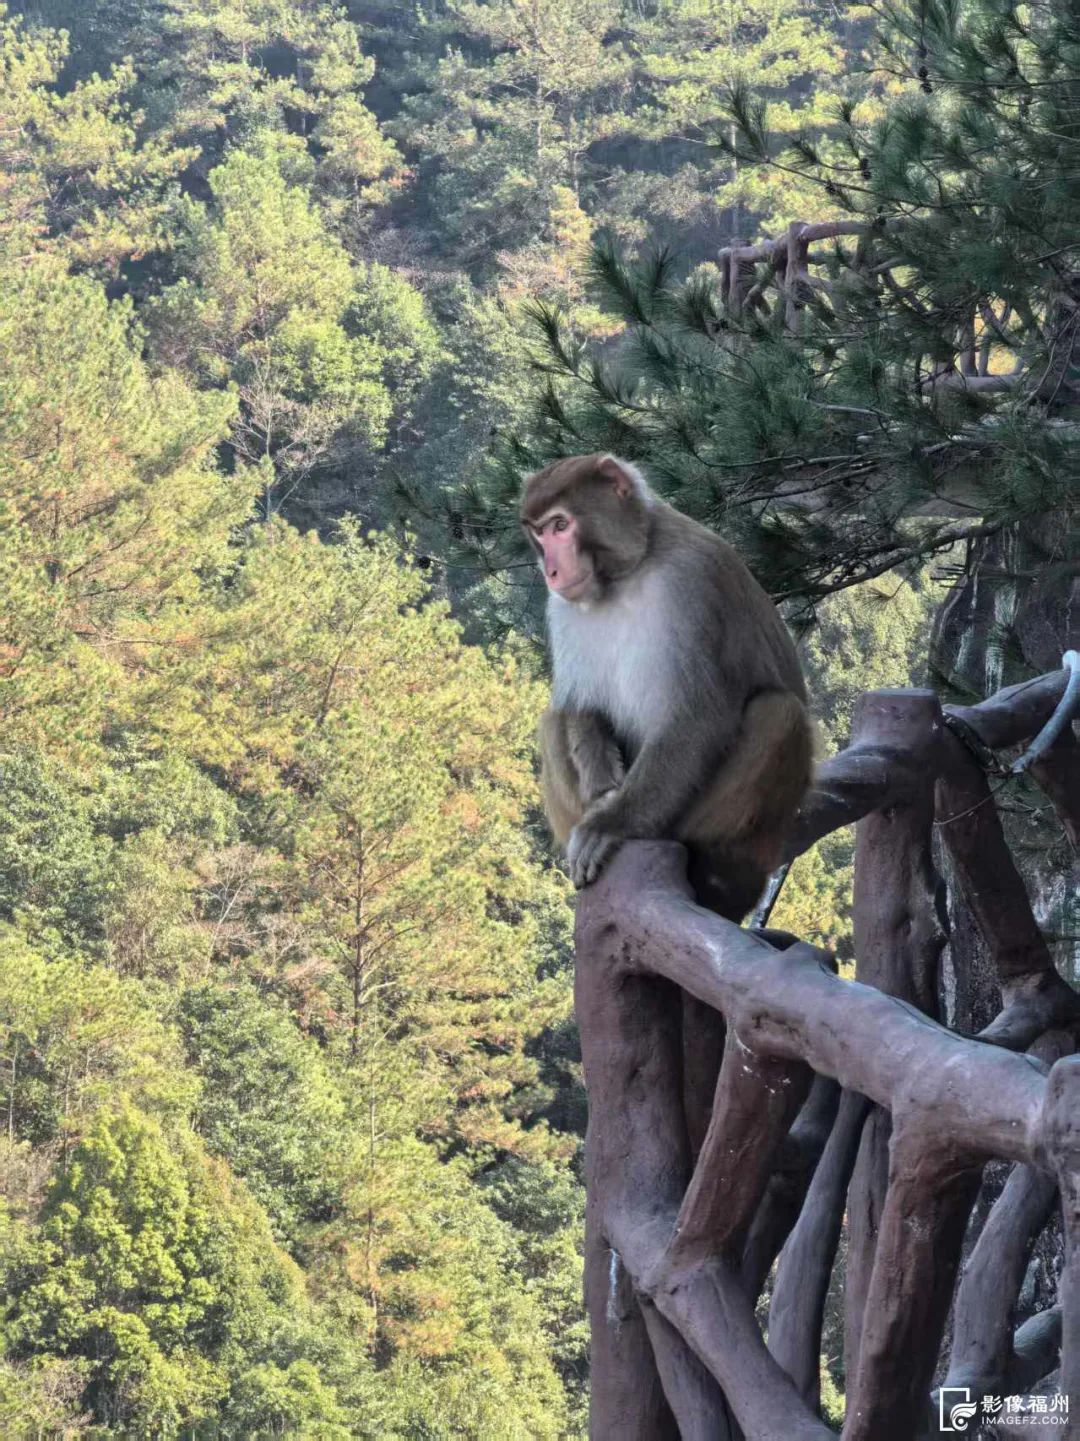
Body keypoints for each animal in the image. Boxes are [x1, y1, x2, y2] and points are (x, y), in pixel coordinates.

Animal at [519, 452, 807, 922]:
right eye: (539, 533)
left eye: (561, 525)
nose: (551, 571)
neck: (624, 576)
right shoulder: (561, 607)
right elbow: (579, 705)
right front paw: (602, 789)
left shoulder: (692, 583)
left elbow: (696, 717)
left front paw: (612, 821)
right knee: (552, 719)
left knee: (780, 714)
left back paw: (716, 874)